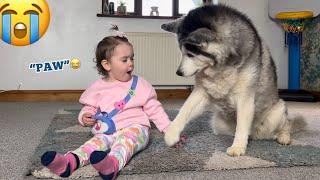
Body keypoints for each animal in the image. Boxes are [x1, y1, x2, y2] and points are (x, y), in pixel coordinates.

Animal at [161, 4, 292, 156]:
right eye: (182, 52)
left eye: (191, 54)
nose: (178, 72)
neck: (220, 67)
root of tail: (255, 134)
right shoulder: (201, 92)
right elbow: (185, 109)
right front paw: (171, 133)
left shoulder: (244, 98)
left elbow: (241, 125)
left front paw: (238, 147)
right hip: (218, 124)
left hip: (278, 110)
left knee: (286, 124)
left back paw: (284, 136)